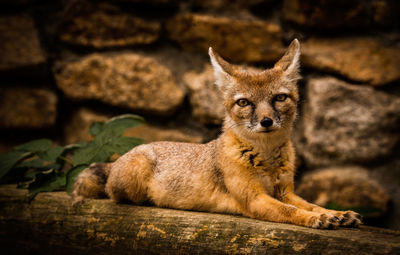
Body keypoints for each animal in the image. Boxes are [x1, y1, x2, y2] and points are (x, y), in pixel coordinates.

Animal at [72, 39, 362, 229]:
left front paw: (334, 213)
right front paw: (317, 219)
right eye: (244, 103)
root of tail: (116, 161)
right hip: (134, 178)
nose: (266, 121)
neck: (267, 158)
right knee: (114, 196)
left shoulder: (285, 191)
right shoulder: (255, 199)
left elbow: (309, 204)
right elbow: (291, 212)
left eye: (279, 98)